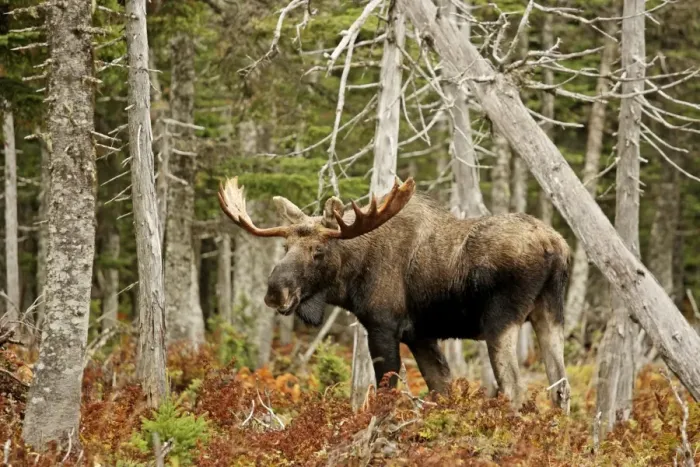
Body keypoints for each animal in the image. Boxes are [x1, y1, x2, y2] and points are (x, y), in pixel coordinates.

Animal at [217, 175, 571, 413]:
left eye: (318, 251)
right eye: (285, 247)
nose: (275, 292)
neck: (351, 278)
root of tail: (556, 247)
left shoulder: (383, 326)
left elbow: (387, 393)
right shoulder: (421, 335)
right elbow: (441, 389)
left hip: (500, 320)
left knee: (514, 387)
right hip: (550, 313)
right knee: (560, 388)